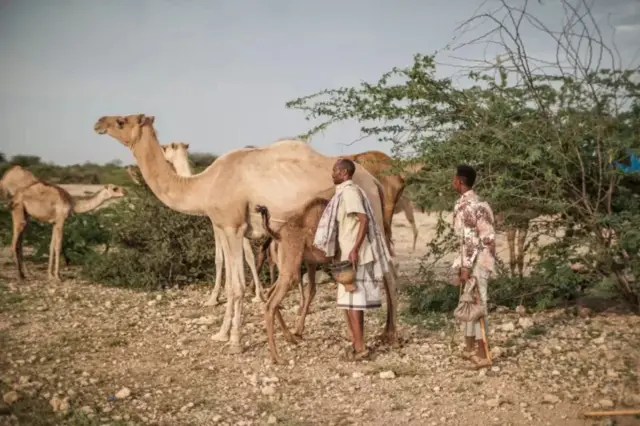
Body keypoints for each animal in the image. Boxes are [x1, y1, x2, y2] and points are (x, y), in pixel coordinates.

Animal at [159, 142, 265, 304]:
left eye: (166, 148)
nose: (161, 152)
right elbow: (246, 255)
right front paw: (256, 294)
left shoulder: (218, 224)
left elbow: (221, 258)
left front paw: (214, 297)